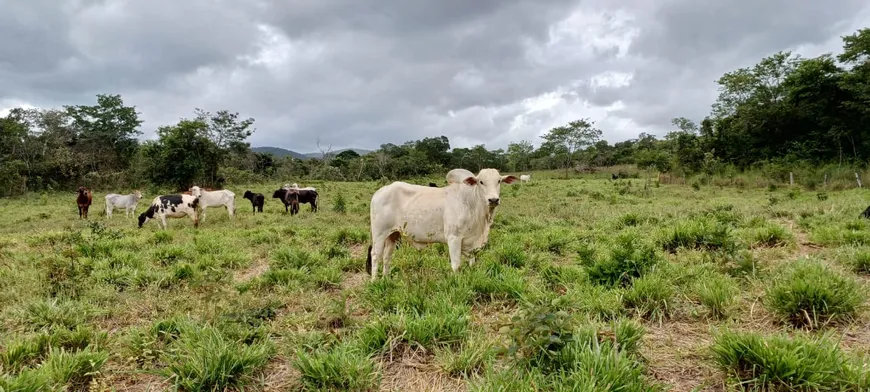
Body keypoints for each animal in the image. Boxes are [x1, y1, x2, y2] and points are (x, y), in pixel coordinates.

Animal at [366, 167, 516, 280]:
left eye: (499, 181)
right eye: (481, 182)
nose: (493, 200)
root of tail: (379, 192)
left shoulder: (471, 242)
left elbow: (472, 262)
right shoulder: (453, 238)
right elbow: (456, 265)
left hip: (393, 234)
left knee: (387, 256)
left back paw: (386, 279)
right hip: (379, 233)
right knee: (376, 255)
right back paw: (374, 281)